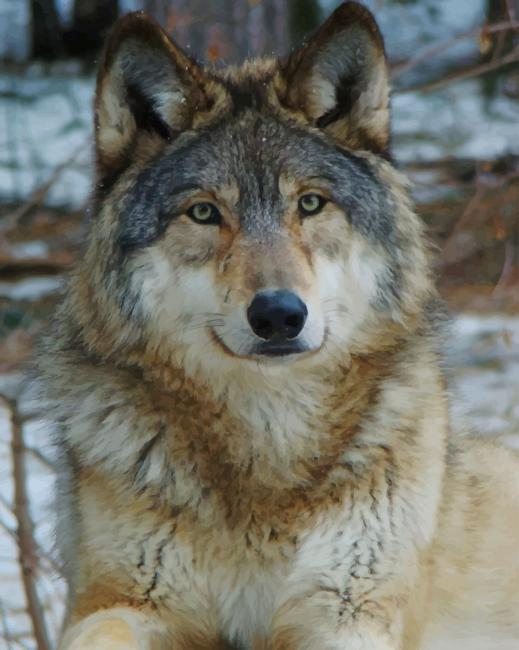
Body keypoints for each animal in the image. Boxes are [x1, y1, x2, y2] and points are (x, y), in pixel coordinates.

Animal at [39, 2, 519, 649]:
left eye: (310, 204)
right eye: (204, 212)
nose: (278, 315)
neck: (267, 438)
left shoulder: (350, 607)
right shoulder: (118, 599)